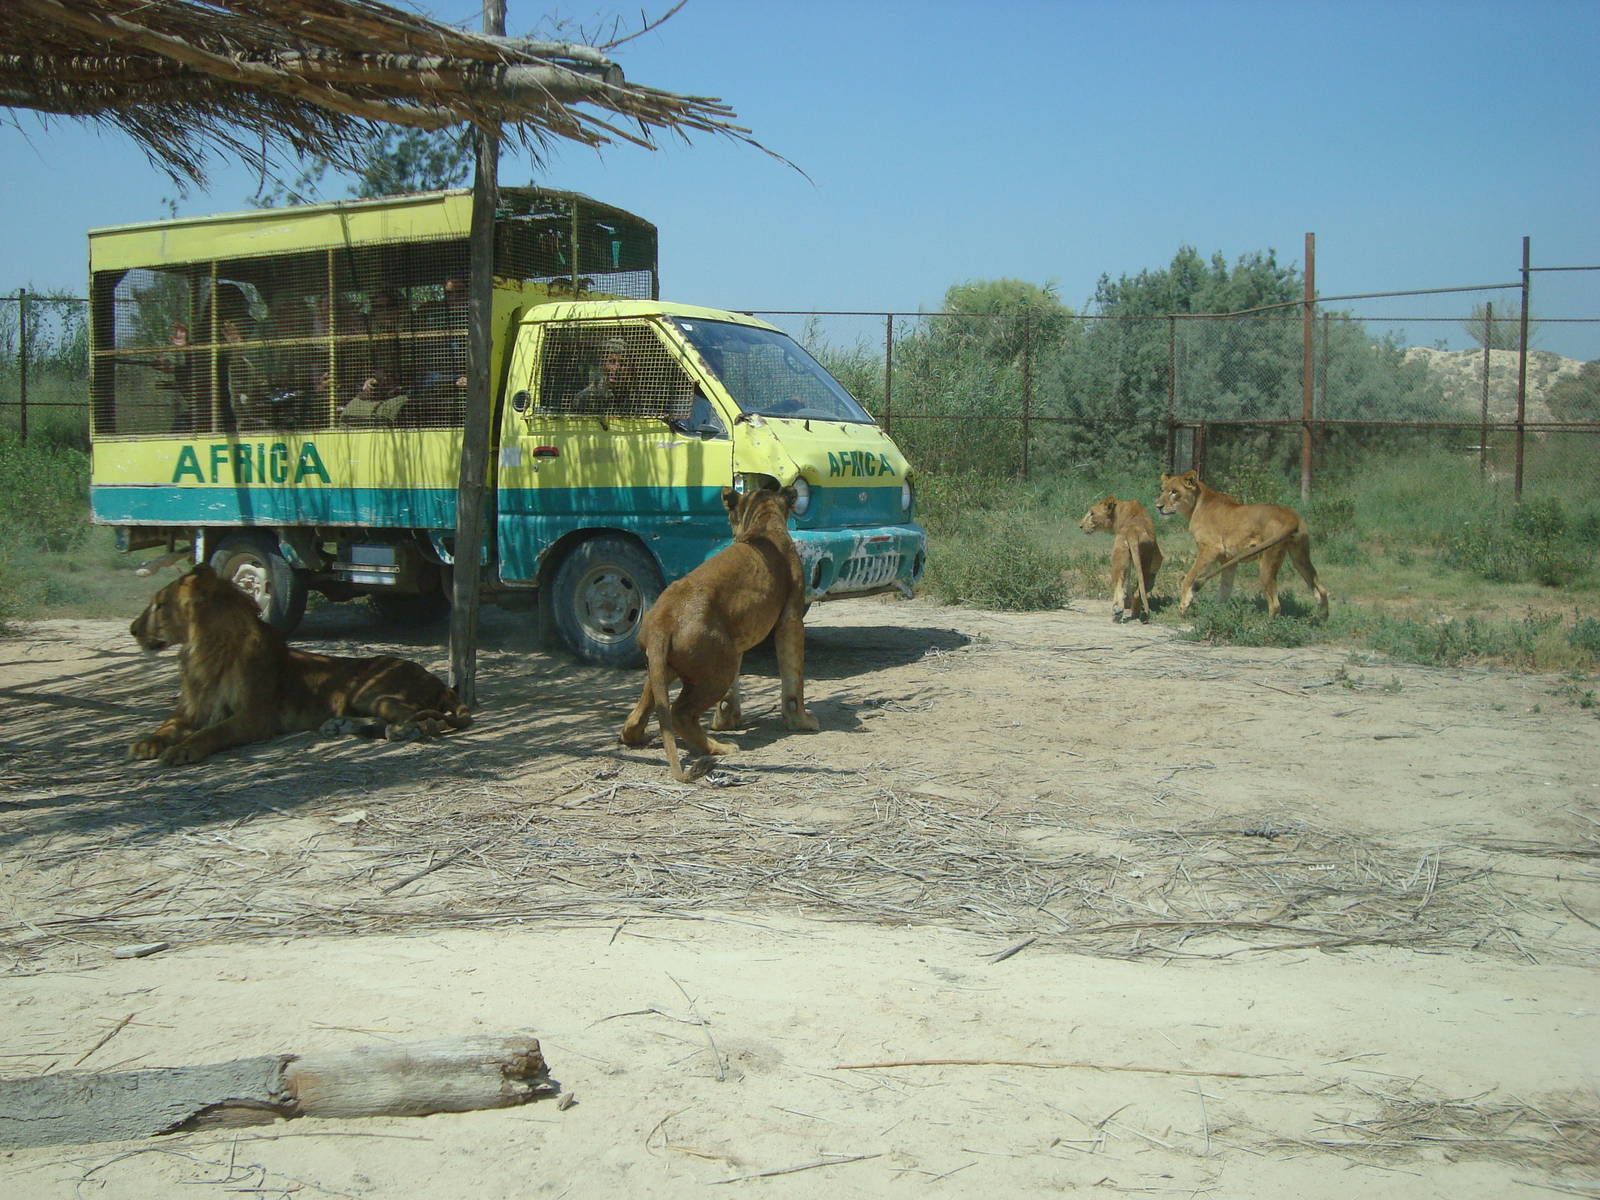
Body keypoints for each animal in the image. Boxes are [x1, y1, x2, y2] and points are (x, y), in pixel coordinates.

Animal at [129, 564, 470, 766]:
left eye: (160, 605)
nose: (132, 629)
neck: (204, 651)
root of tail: (438, 682)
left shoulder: (254, 717)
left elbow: (212, 732)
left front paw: (182, 749)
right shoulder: (190, 710)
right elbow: (166, 725)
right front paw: (146, 743)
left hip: (368, 691)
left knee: (426, 722)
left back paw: (401, 732)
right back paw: (339, 725)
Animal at [619, 481, 818, 782]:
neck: (763, 522)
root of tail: (663, 619)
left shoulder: (740, 633)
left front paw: (726, 720)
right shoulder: (791, 619)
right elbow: (794, 680)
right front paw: (802, 721)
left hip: (668, 664)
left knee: (642, 711)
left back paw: (638, 737)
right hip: (721, 665)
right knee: (680, 713)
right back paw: (720, 747)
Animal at [1155, 470, 1329, 619]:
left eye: (1174, 492)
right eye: (1162, 490)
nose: (1158, 507)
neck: (1196, 505)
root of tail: (1291, 515)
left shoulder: (1210, 549)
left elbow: (1190, 576)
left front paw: (1184, 605)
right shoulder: (1228, 560)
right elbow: (1225, 588)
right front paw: (1216, 612)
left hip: (1267, 562)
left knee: (1275, 604)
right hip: (1300, 557)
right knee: (1321, 590)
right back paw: (1322, 620)